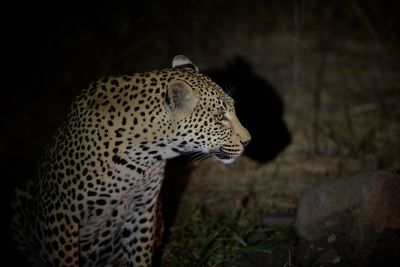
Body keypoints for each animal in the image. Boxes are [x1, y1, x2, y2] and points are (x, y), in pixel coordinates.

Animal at [11, 55, 250, 267]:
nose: (248, 141)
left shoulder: (142, 208)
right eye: (220, 118)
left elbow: (139, 255)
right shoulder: (62, 212)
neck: (144, 156)